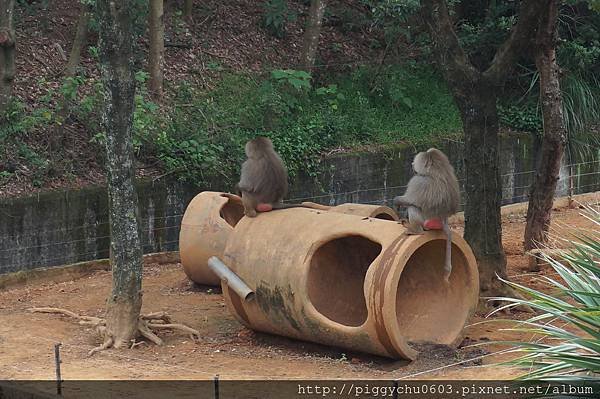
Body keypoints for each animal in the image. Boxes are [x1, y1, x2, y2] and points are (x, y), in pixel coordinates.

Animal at [394, 148, 460, 282]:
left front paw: (396, 201)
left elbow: (409, 200)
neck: (436, 169)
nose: (412, 164)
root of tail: (442, 220)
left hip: (425, 221)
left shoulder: (418, 180)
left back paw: (415, 230)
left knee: (413, 208)